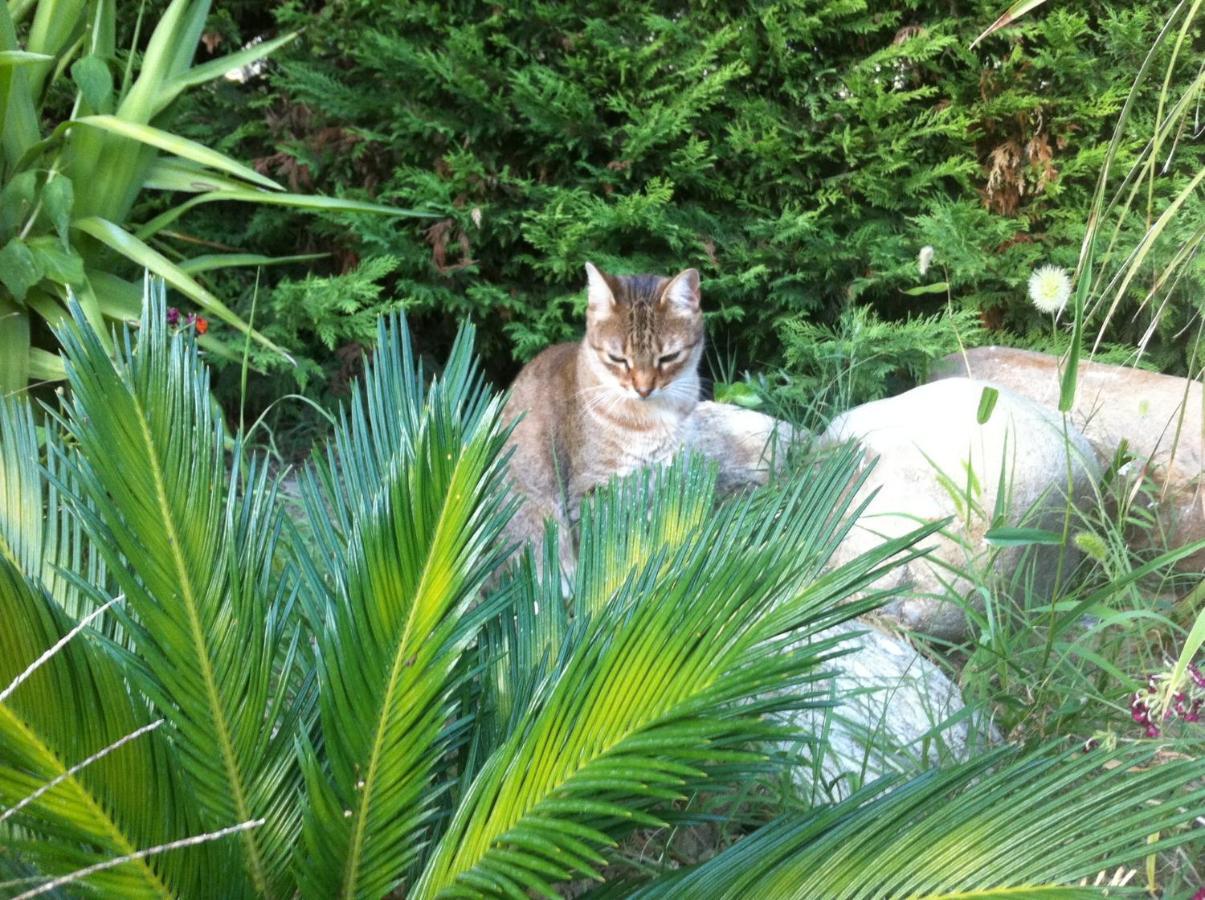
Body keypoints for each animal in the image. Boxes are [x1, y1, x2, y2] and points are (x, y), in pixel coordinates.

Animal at [501, 263, 703, 580]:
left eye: (668, 357)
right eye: (617, 358)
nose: (643, 389)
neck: (649, 418)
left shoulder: (661, 483)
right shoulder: (592, 492)